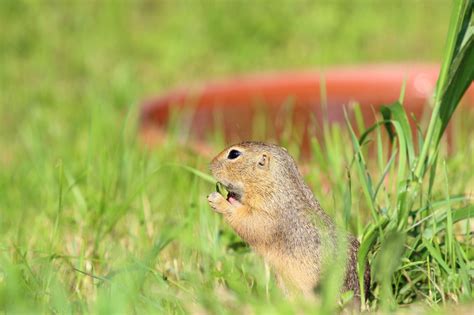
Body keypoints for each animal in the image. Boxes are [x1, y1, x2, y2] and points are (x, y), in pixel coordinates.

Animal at [207, 141, 370, 304]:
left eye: (234, 154)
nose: (210, 165)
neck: (276, 186)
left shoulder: (269, 215)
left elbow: (248, 222)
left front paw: (218, 200)